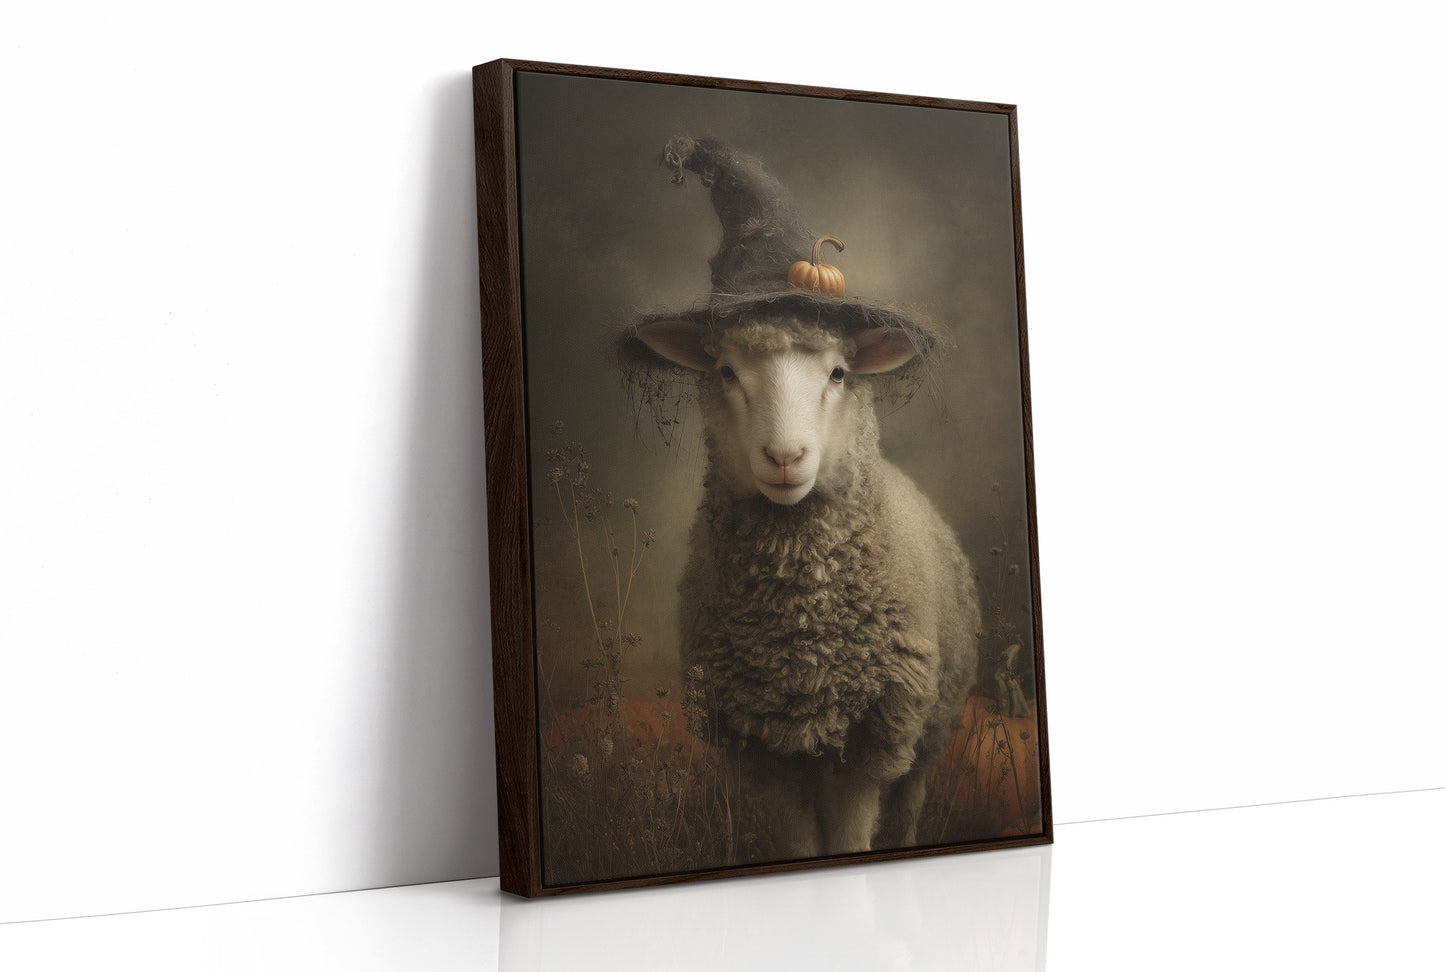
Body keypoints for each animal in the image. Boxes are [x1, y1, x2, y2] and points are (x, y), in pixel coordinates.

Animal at [628, 311, 982, 858]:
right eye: (726, 371)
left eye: (838, 373)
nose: (785, 457)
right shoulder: (763, 745)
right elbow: (800, 846)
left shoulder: (871, 738)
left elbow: (852, 839)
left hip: (928, 726)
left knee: (908, 800)